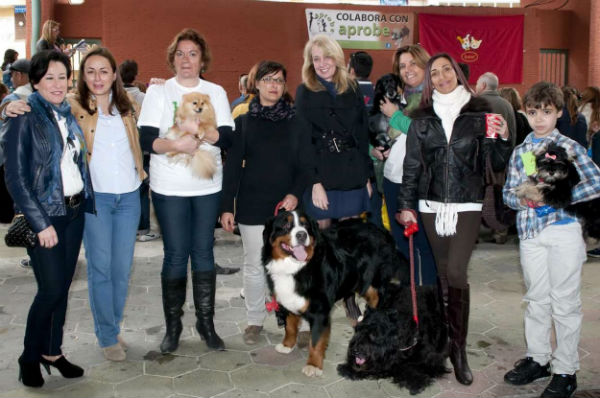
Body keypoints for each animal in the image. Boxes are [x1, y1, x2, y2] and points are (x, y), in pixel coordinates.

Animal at [260, 210, 406, 378]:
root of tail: (379, 228)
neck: (297, 268)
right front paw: (287, 345)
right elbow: (290, 326)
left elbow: (316, 341)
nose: (302, 235)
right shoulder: (288, 300)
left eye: (305, 225)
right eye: (285, 225)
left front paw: (313, 365)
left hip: (374, 286)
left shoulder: (319, 310)